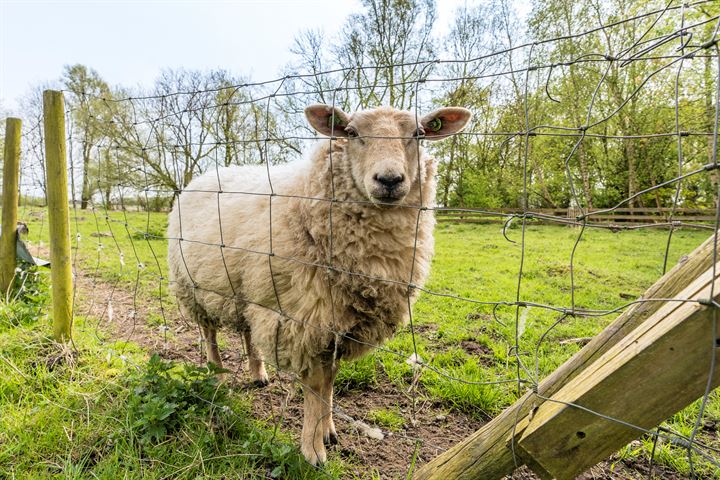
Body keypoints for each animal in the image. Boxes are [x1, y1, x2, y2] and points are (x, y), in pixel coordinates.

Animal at [167, 102, 472, 464]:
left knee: (247, 332)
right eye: (351, 133)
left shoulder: (342, 325)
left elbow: (330, 381)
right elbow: (315, 385)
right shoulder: (305, 321)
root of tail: (206, 174)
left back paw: (258, 374)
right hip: (193, 288)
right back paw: (215, 376)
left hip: (247, 290)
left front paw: (329, 431)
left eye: (419, 134)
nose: (389, 180)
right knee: (209, 334)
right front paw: (312, 449)